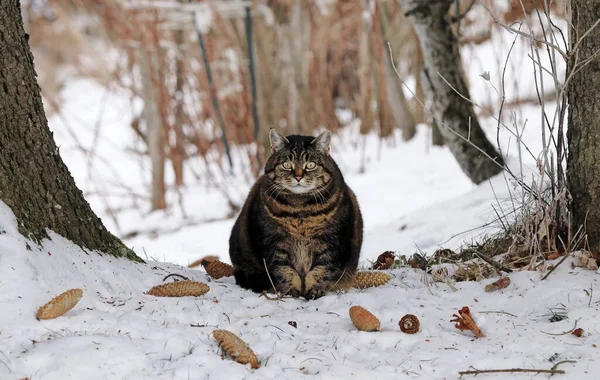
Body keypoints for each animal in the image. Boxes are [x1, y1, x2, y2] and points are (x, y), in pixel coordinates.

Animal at [229, 129, 360, 298]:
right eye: (286, 164)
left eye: (310, 165)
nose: (298, 176)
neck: (300, 209)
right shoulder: (274, 242)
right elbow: (282, 269)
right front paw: (292, 289)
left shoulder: (331, 241)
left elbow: (323, 268)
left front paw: (314, 288)